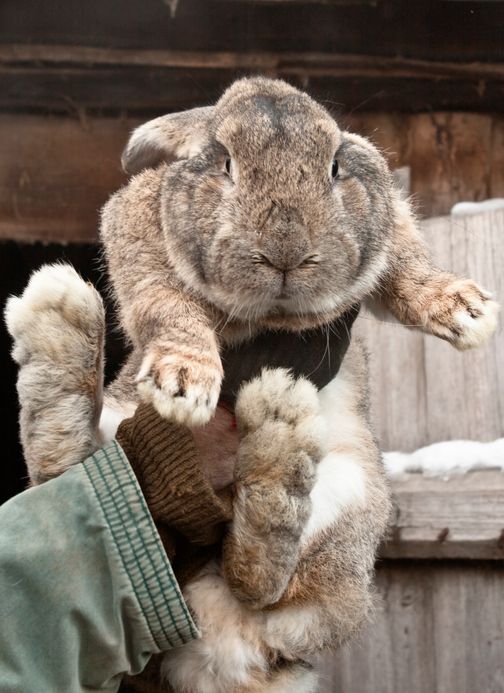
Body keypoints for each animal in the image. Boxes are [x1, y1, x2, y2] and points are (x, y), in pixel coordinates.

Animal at [5, 77, 498, 692]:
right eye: (225, 162)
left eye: (335, 165)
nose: (286, 252)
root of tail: (218, 652)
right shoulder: (136, 229)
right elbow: (164, 301)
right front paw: (184, 380)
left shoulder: (387, 243)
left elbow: (406, 267)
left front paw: (468, 313)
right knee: (65, 474)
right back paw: (58, 316)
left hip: (351, 501)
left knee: (256, 580)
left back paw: (277, 430)